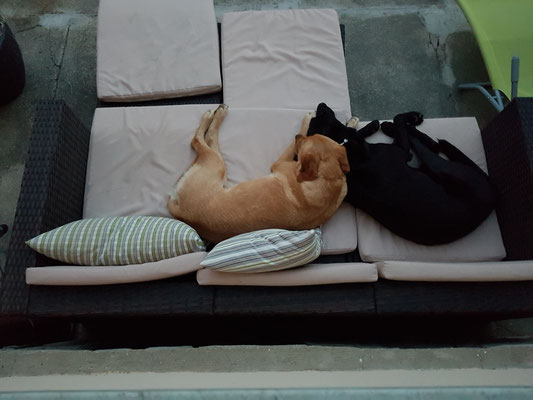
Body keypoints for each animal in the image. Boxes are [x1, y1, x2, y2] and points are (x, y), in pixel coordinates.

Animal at [167, 104, 350, 242]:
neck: (328, 179)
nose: (297, 136)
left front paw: (307, 120)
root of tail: (181, 212)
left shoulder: (279, 163)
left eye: (306, 141)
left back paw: (216, 114)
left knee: (199, 140)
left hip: (215, 164)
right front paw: (351, 122)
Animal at [308, 103, 494, 244]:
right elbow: (398, 118)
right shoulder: (402, 151)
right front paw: (404, 119)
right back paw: (398, 125)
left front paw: (371, 126)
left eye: (313, 119)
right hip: (438, 165)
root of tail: (489, 199)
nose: (321, 104)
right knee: (432, 146)